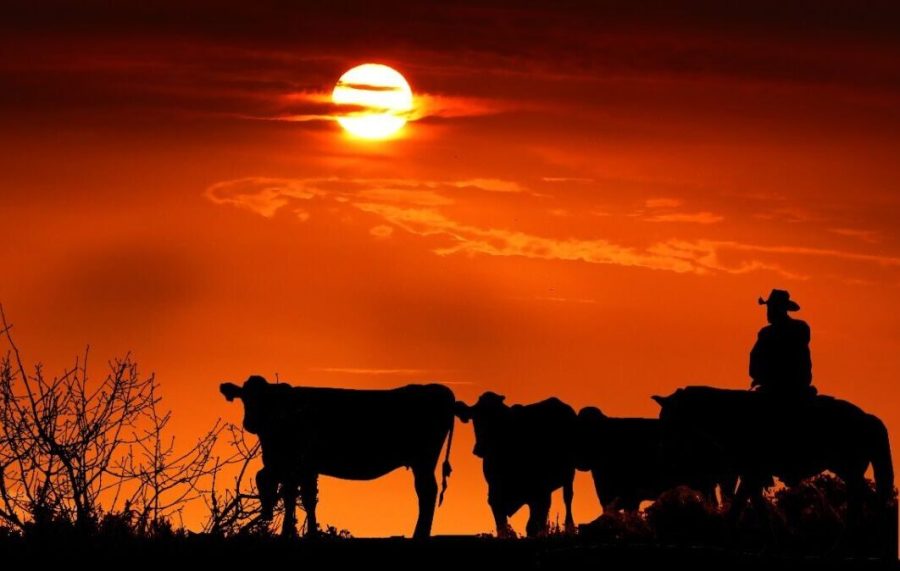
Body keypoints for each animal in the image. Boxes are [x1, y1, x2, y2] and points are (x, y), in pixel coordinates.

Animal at [219, 378, 458, 540]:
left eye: (267, 401)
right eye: (244, 398)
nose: (250, 422)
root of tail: (440, 390)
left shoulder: (298, 464)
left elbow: (298, 496)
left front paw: (295, 533)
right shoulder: (298, 467)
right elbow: (300, 498)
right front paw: (303, 533)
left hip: (423, 460)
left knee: (427, 492)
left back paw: (420, 534)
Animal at [458, 392, 576, 540]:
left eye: (497, 419)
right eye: (475, 418)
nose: (480, 448)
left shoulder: (537, 493)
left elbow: (532, 527)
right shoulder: (495, 497)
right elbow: (502, 527)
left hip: (568, 475)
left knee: (567, 499)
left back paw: (570, 527)